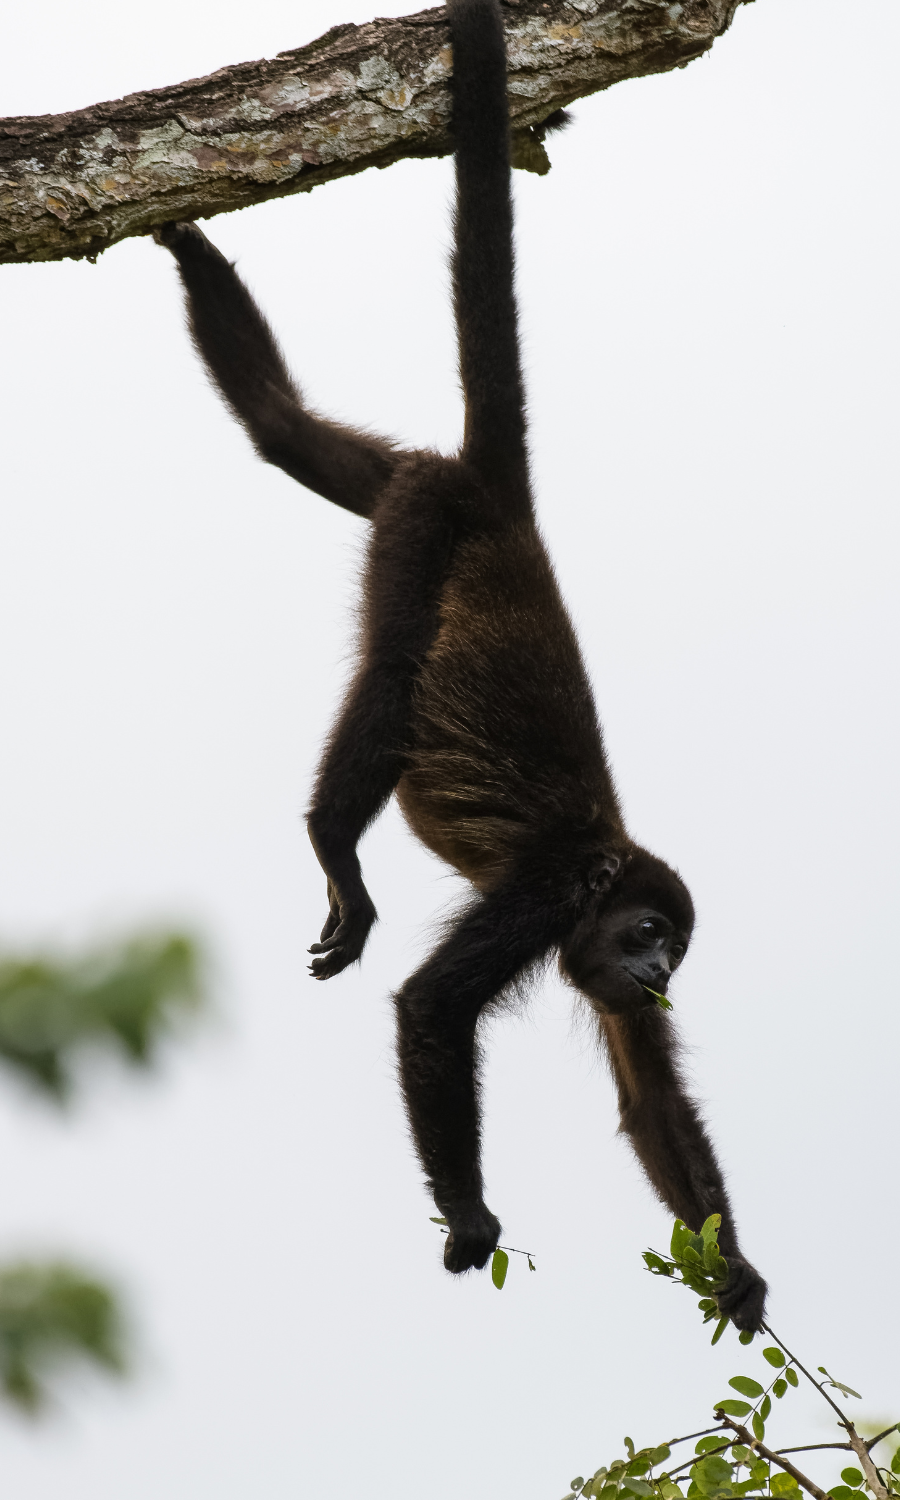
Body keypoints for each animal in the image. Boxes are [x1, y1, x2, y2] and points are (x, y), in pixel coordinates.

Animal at [152, 0, 767, 1331]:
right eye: (653, 931)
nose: (657, 971)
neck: (604, 867)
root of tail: (503, 504)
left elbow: (649, 1092)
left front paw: (742, 1275)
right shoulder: (544, 894)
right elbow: (432, 1011)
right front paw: (475, 1215)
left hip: (404, 480)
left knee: (287, 435)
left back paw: (194, 258)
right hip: (425, 524)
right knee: (387, 674)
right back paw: (335, 848)